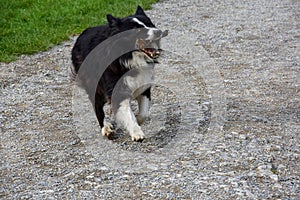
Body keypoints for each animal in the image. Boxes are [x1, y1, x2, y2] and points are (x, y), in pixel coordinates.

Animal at [72, 5, 168, 141]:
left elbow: (143, 112)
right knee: (97, 107)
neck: (129, 58)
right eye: (136, 29)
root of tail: (82, 34)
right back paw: (106, 129)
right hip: (93, 84)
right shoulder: (116, 90)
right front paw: (136, 132)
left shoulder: (144, 85)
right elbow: (127, 113)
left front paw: (137, 120)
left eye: (150, 23)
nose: (158, 31)